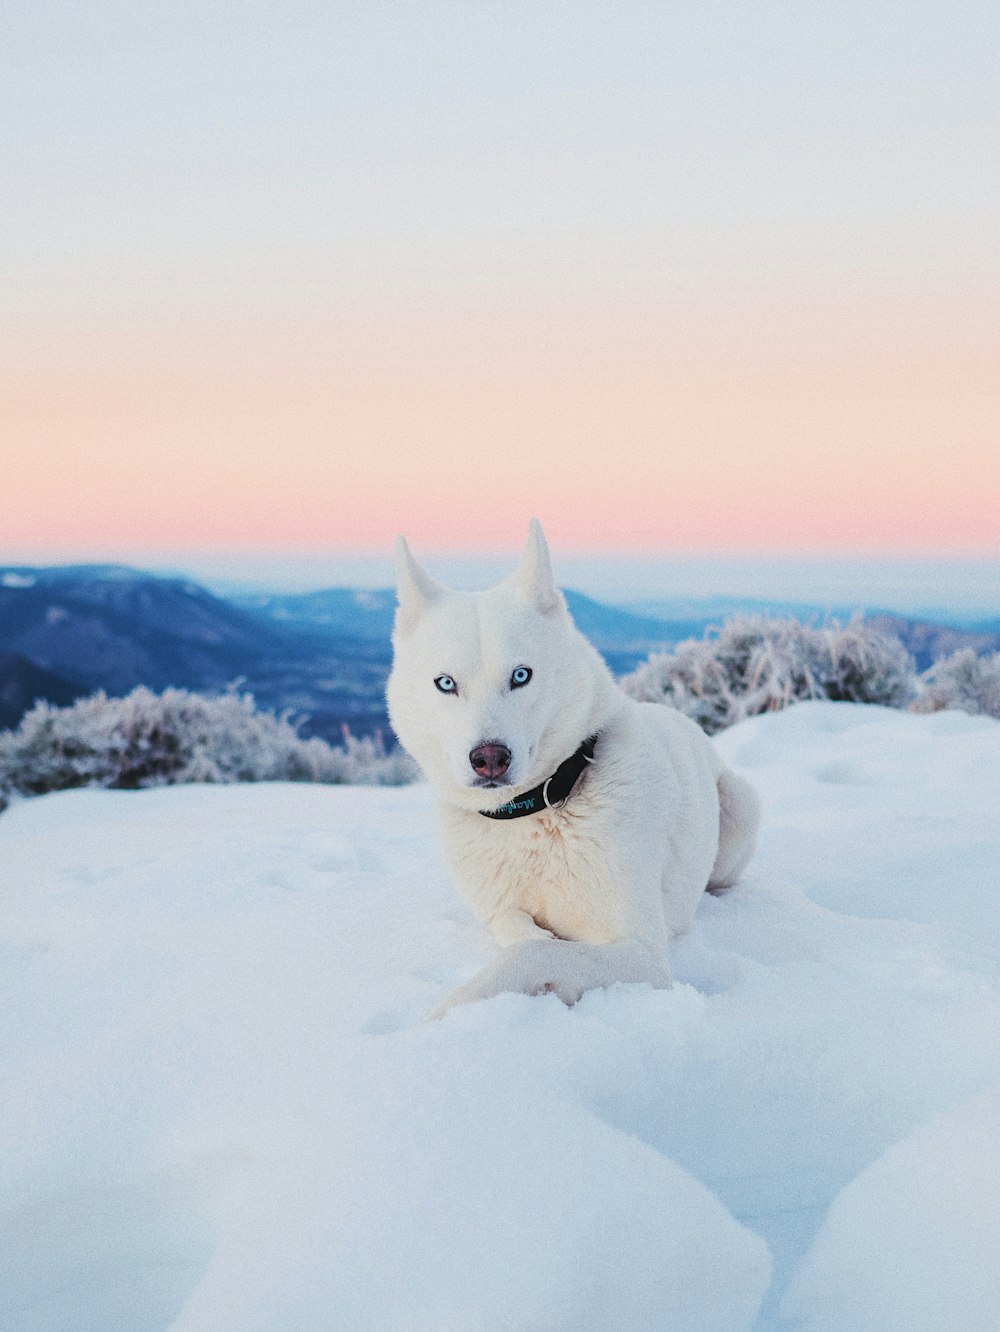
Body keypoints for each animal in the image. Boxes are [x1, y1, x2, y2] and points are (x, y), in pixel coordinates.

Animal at [386, 514, 761, 1012]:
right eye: (445, 684)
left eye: (521, 675)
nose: (489, 759)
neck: (533, 812)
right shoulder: (499, 907)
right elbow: (518, 928)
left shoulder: (641, 955)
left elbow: (536, 951)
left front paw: (452, 1010)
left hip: (741, 806)